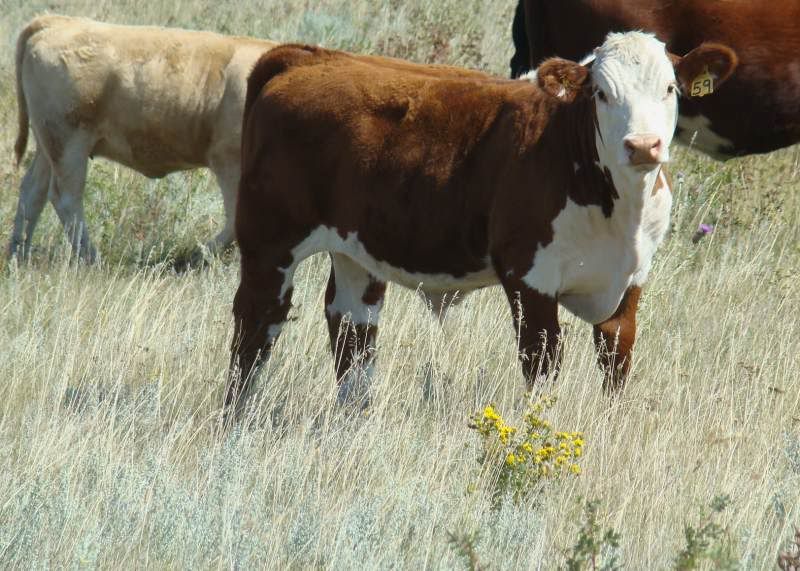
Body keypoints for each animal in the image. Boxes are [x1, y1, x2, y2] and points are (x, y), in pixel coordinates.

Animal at [11, 15, 277, 262]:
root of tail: (57, 22)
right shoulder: (228, 161)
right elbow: (236, 221)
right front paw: (198, 254)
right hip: (69, 143)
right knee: (65, 197)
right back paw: (91, 258)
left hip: (48, 144)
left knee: (32, 192)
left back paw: (18, 256)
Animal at [223, 32, 736, 418]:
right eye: (602, 93)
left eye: (670, 89)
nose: (643, 145)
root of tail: (308, 57)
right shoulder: (529, 278)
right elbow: (543, 366)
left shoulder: (631, 282)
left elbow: (616, 366)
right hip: (269, 240)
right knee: (256, 325)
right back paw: (236, 419)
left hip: (356, 249)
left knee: (352, 327)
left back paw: (355, 420)